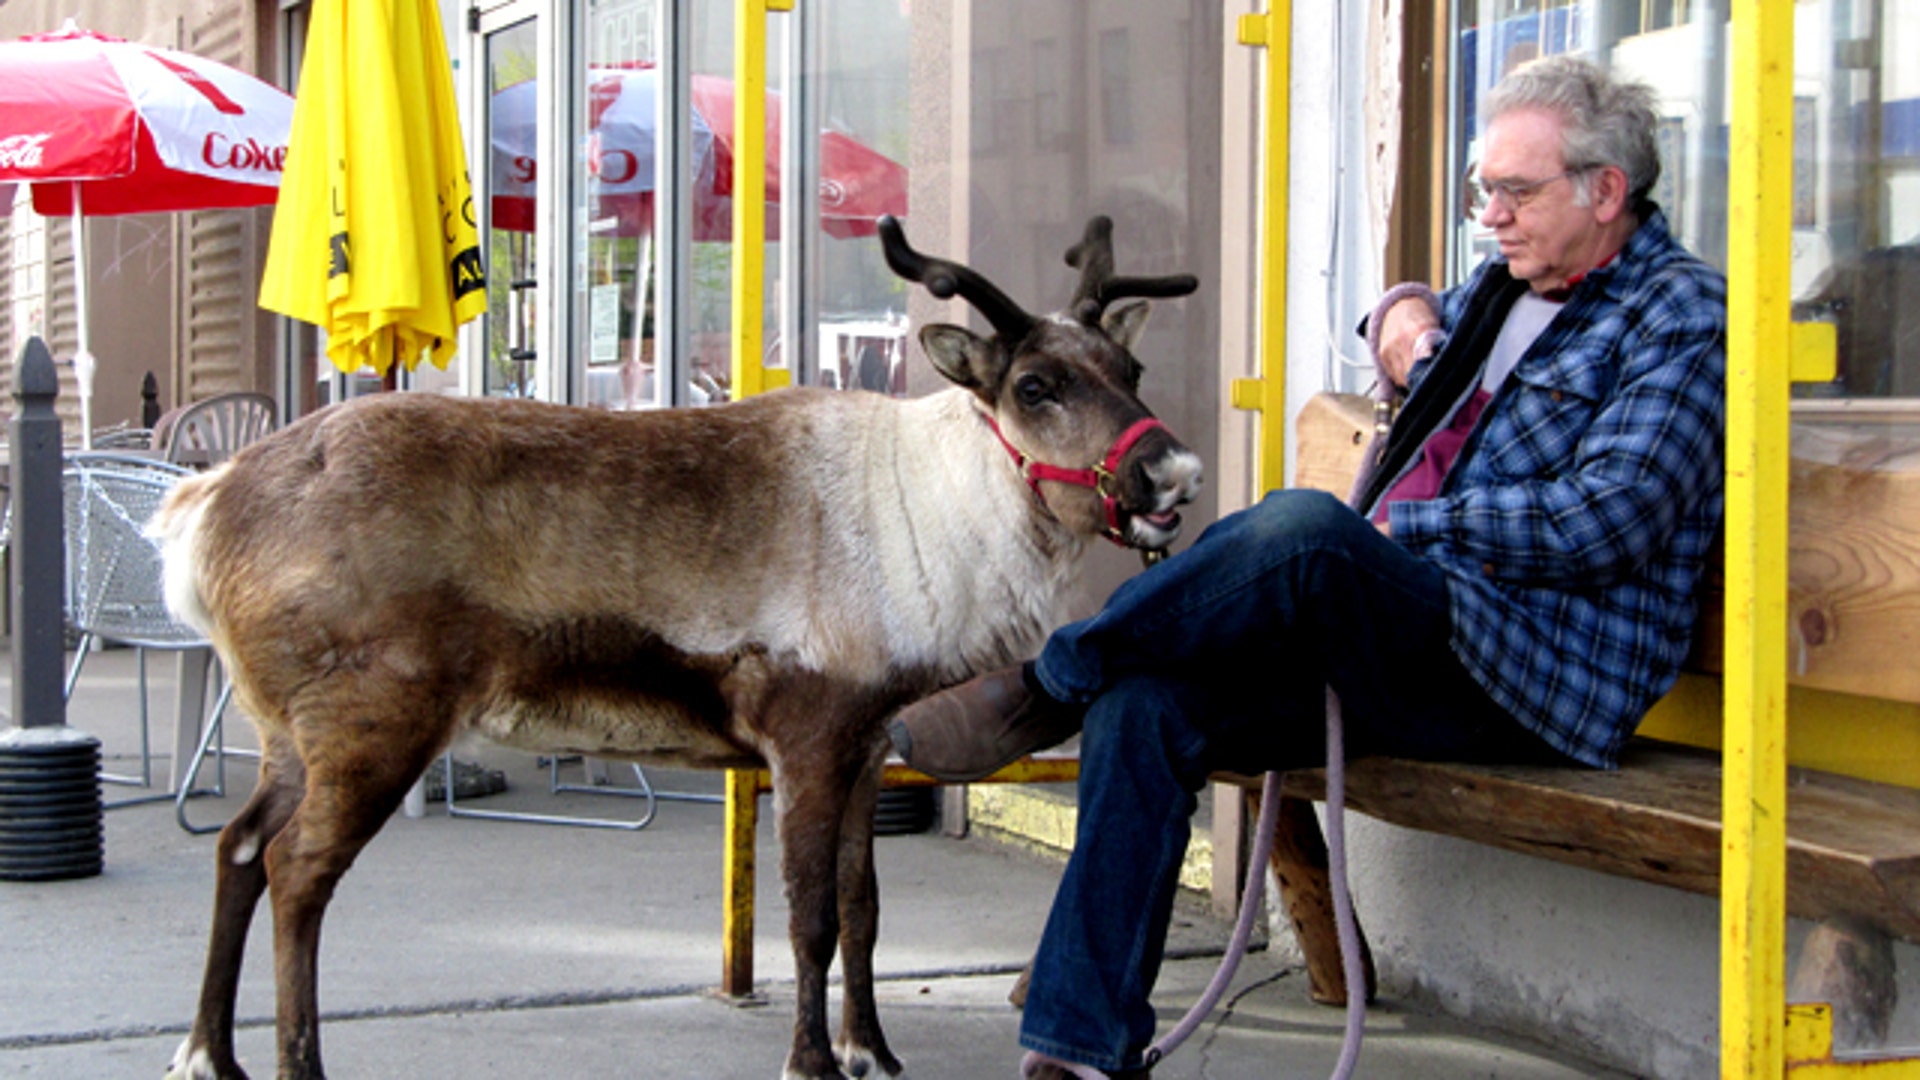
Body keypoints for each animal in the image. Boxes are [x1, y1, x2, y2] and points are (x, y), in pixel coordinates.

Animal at [152, 215, 1203, 1080]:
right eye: (1034, 384)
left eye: (1132, 372)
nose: (1176, 471)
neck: (925, 515)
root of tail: (202, 508)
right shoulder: (806, 732)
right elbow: (810, 918)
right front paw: (813, 1063)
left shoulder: (867, 744)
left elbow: (863, 909)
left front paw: (875, 1051)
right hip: (371, 723)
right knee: (296, 871)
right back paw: (290, 1064)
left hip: (289, 735)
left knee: (238, 848)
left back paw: (209, 1055)